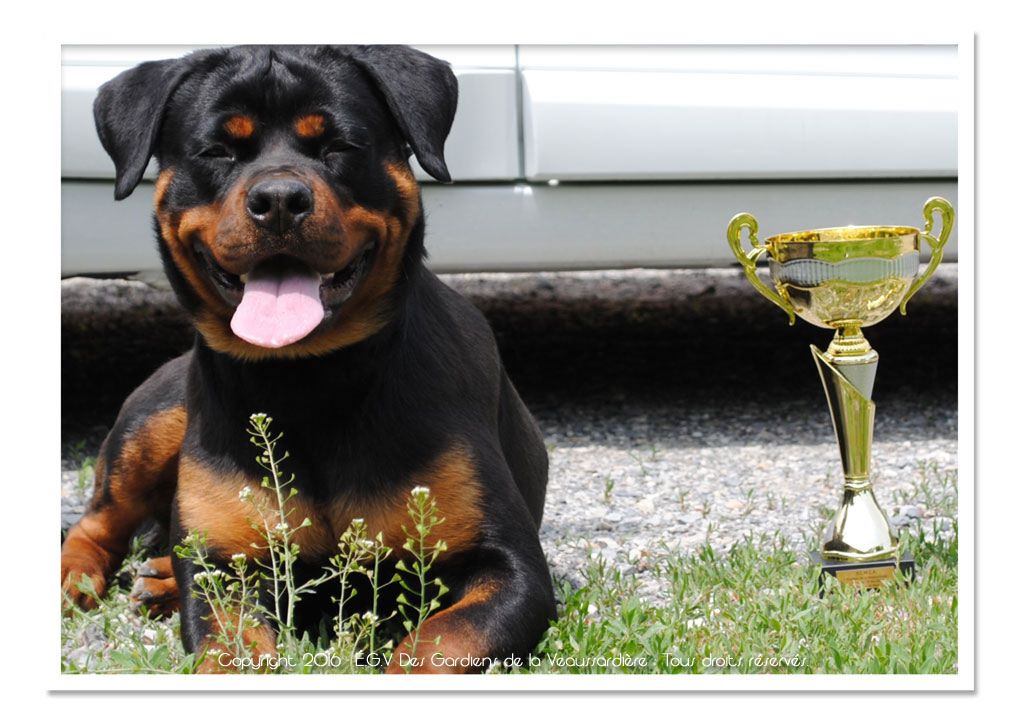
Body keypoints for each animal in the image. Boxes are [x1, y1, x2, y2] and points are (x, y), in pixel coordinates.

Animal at [59, 45, 557, 675]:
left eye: (339, 146)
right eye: (217, 151)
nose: (278, 200)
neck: (309, 380)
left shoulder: (511, 568)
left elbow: (440, 641)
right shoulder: (223, 571)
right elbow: (228, 650)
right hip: (152, 423)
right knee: (97, 522)